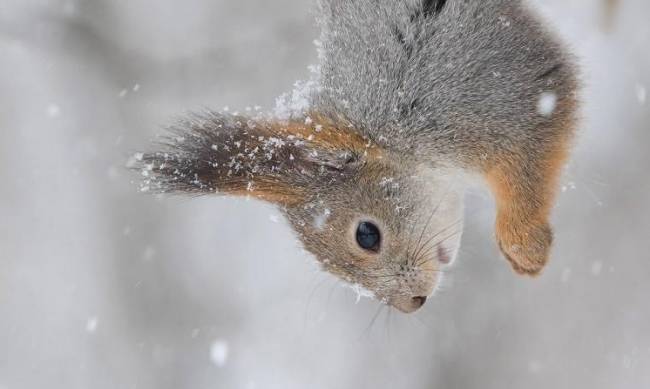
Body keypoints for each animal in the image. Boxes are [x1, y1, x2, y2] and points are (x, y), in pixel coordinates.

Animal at [135, 0, 576, 310]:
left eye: (367, 235)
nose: (411, 305)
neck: (385, 130)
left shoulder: (492, 98)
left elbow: (531, 156)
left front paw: (526, 248)